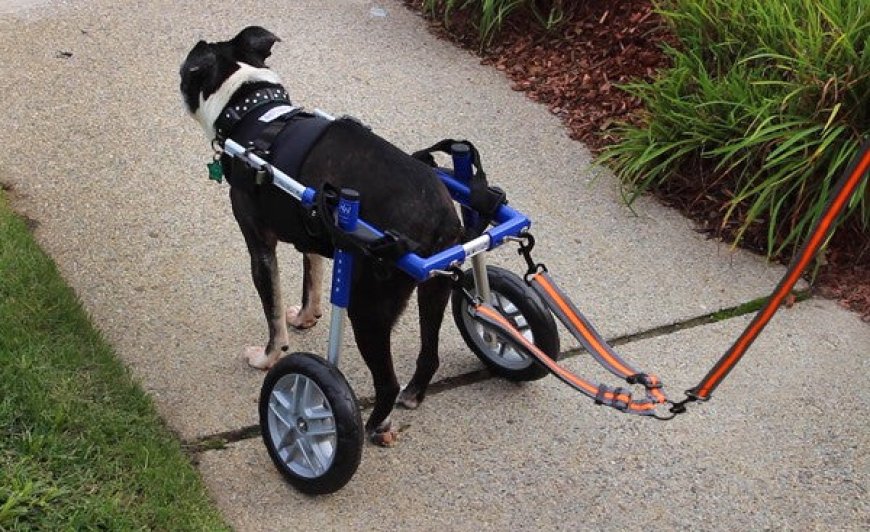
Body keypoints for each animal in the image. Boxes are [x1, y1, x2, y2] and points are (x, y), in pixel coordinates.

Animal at [178, 26, 464, 444]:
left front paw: (267, 359)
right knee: (430, 352)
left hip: (368, 308)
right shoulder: (310, 227)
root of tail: (440, 216)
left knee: (387, 383)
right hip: (435, 289)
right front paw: (306, 317)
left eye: (186, 69)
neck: (250, 111)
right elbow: (311, 281)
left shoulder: (260, 248)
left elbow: (274, 317)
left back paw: (376, 425)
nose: (178, 76)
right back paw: (413, 395)